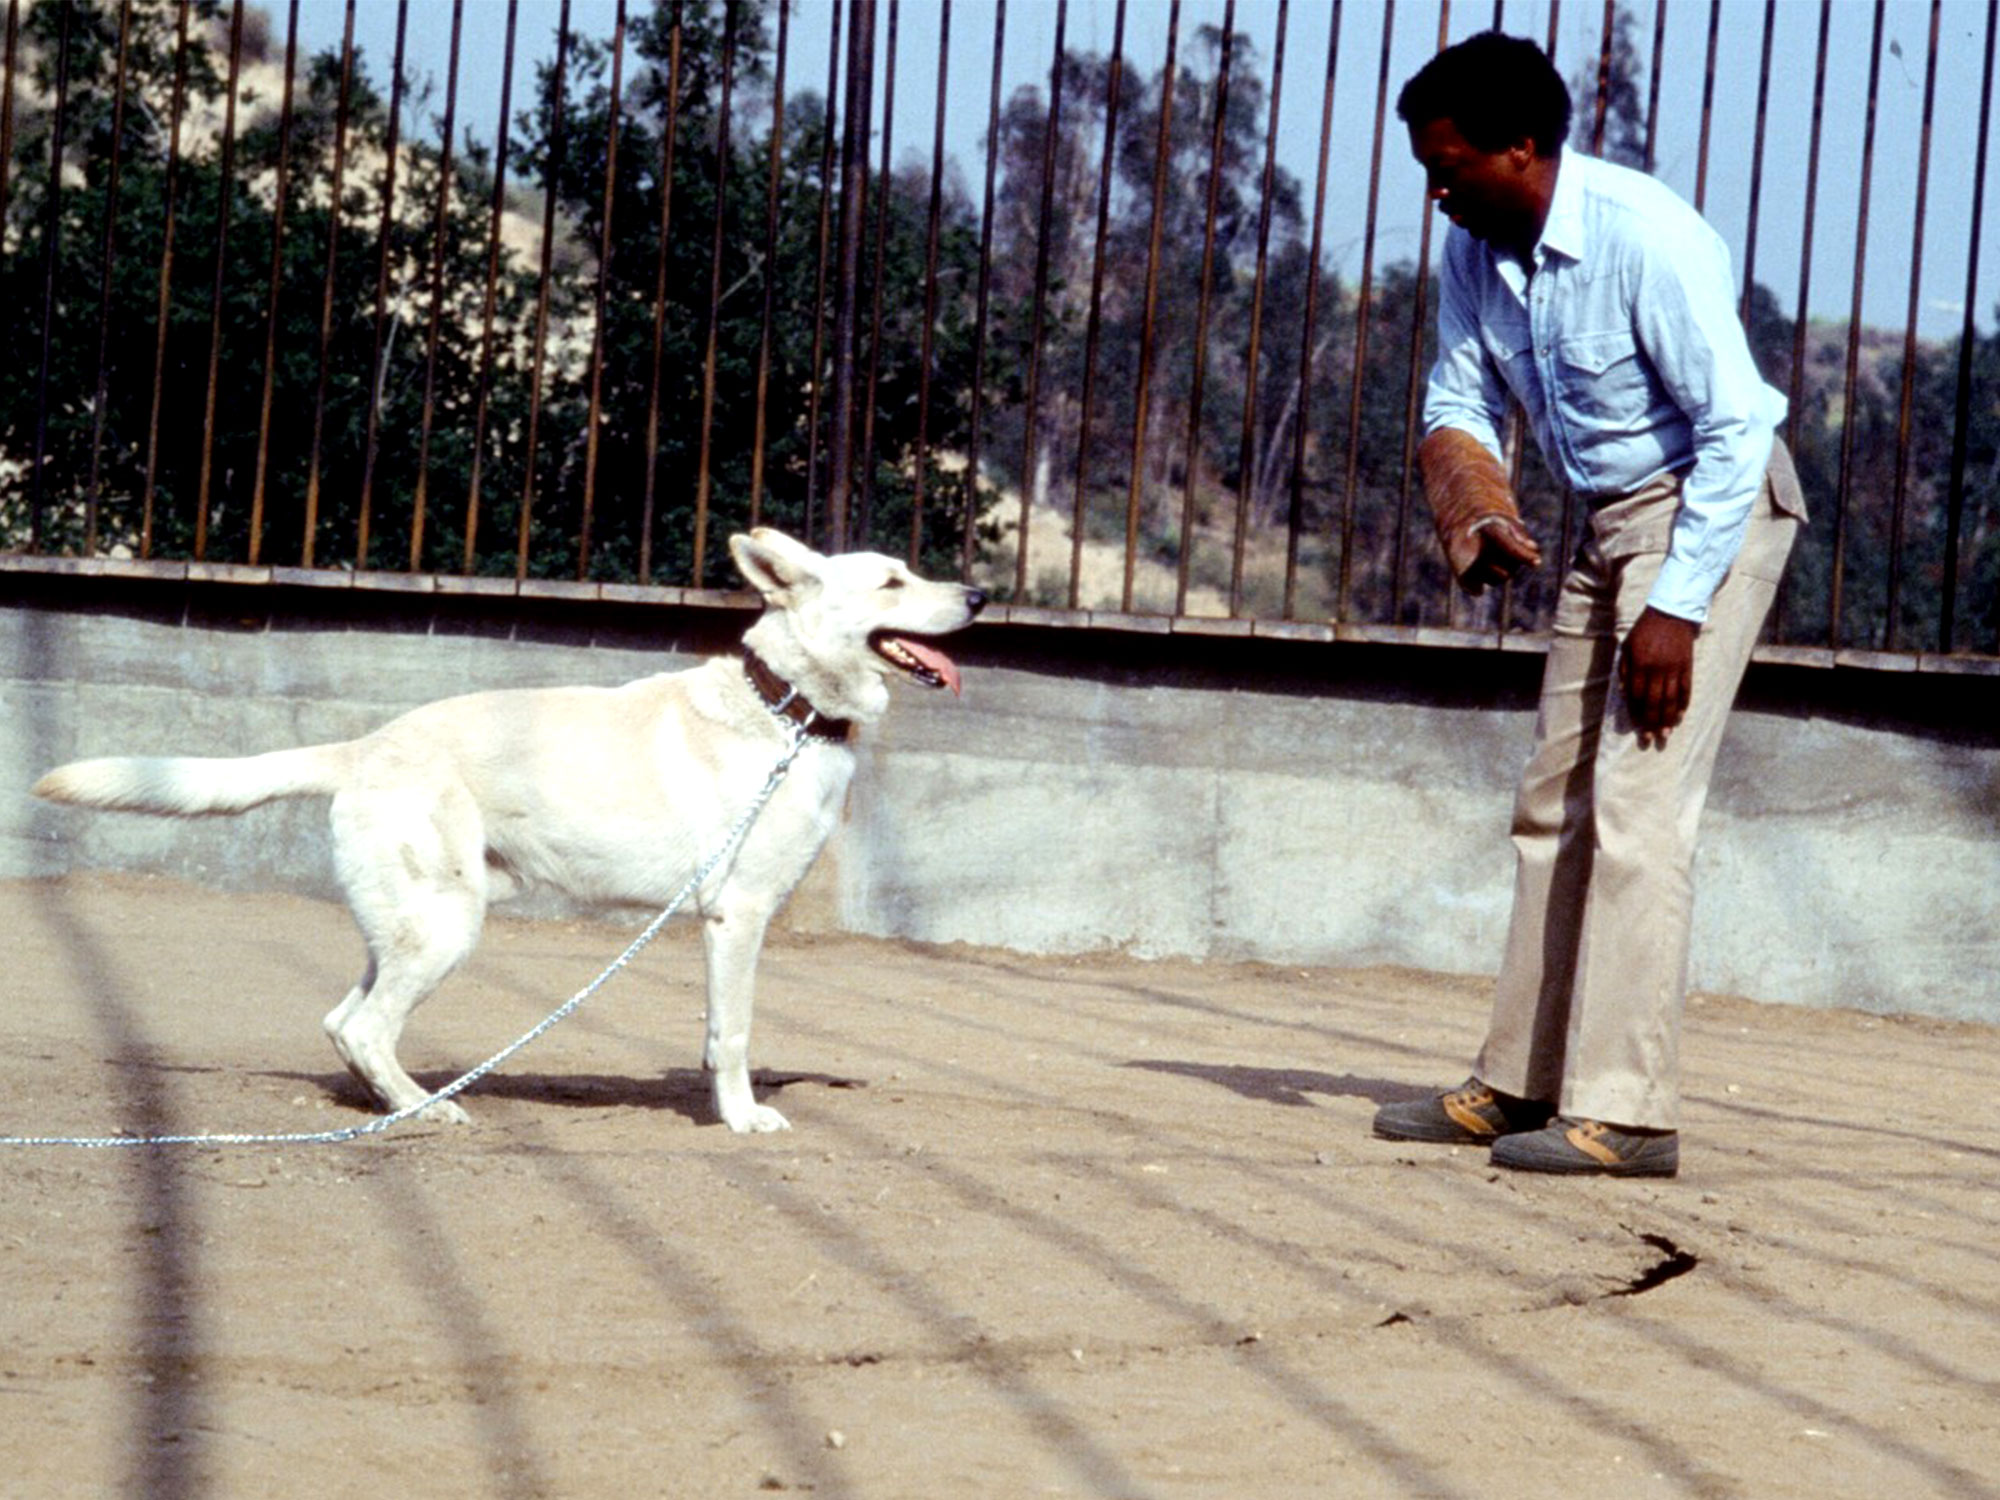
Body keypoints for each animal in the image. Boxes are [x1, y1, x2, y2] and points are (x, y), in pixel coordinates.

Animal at [35, 536, 988, 1136]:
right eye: (893, 582)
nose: (981, 596)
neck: (785, 708)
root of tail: (366, 745)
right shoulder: (739, 918)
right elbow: (735, 1035)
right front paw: (742, 1118)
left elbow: (714, 1033)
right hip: (446, 929)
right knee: (367, 1028)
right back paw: (430, 1111)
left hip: (410, 927)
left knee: (343, 1022)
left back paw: (392, 1105)